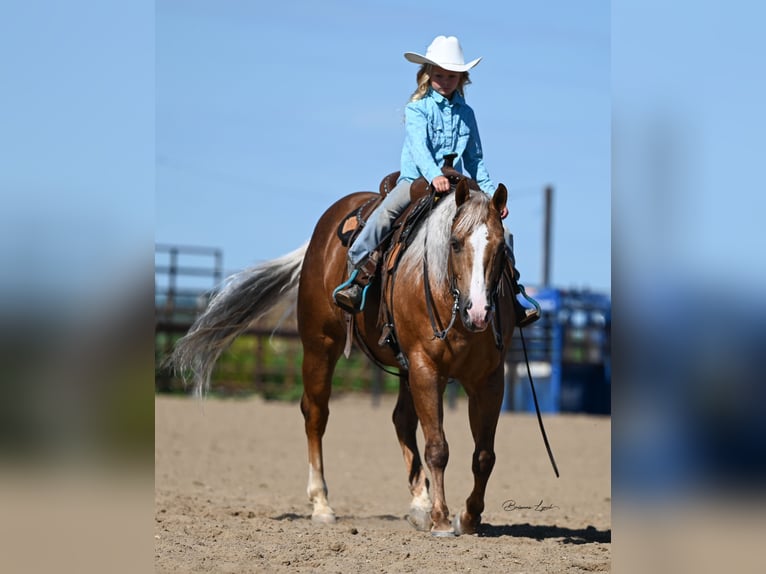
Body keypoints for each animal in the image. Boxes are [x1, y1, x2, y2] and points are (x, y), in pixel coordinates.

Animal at [172, 178, 520, 536]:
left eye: (501, 248)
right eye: (455, 243)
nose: (478, 312)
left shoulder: (489, 380)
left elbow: (484, 455)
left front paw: (468, 517)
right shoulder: (425, 369)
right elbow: (437, 448)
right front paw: (441, 519)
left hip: (403, 368)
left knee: (401, 420)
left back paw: (419, 505)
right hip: (320, 346)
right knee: (315, 414)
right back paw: (322, 504)